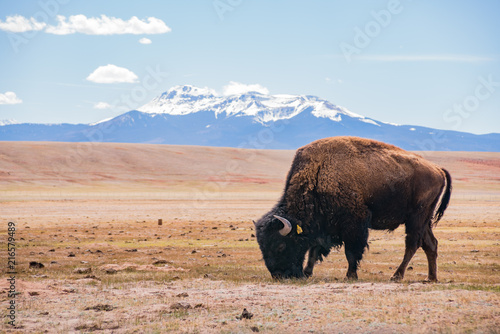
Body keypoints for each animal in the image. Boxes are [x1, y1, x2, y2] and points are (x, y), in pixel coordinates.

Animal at [256, 136, 452, 282]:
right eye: (262, 246)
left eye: (280, 245)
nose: (278, 275)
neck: (318, 174)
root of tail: (437, 169)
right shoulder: (324, 226)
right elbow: (314, 249)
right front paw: (307, 272)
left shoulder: (354, 224)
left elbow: (351, 252)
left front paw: (350, 276)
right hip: (425, 220)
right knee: (430, 244)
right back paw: (431, 278)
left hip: (416, 218)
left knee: (412, 244)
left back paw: (396, 276)